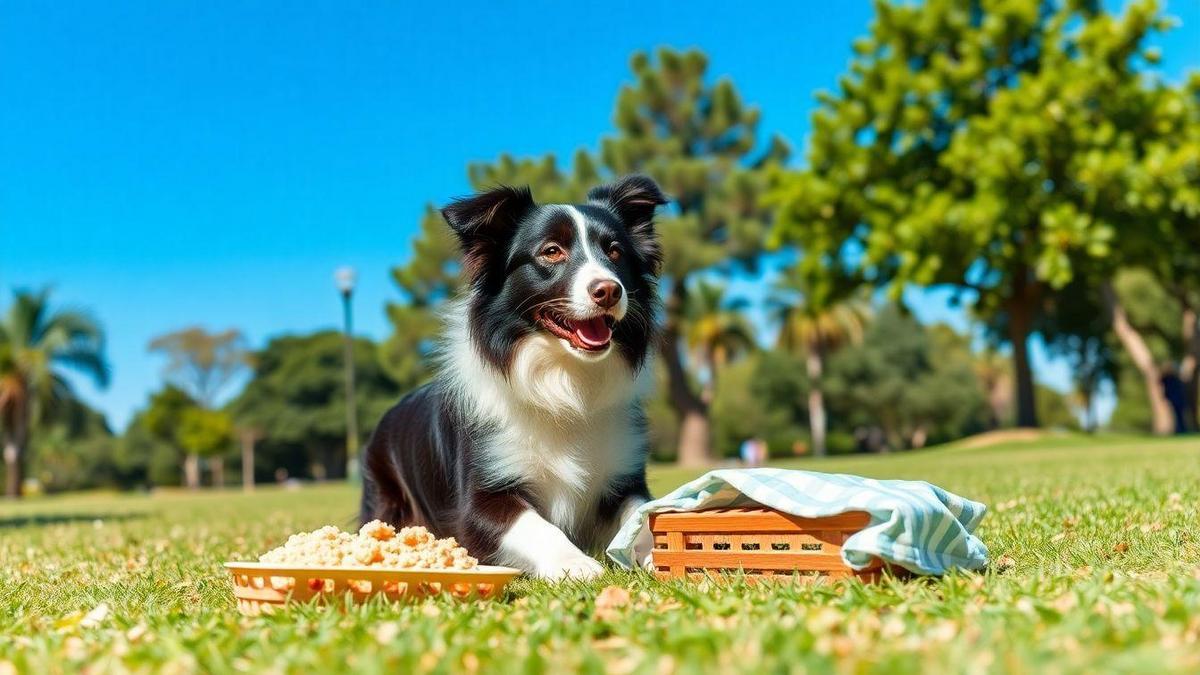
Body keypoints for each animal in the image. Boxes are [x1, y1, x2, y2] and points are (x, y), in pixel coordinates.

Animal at [360, 172, 672, 578]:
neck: (564, 378)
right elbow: (536, 525)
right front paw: (574, 563)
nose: (609, 290)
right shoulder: (480, 498)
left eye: (615, 251)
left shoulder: (623, 477)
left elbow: (643, 514)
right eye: (551, 251)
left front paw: (659, 552)